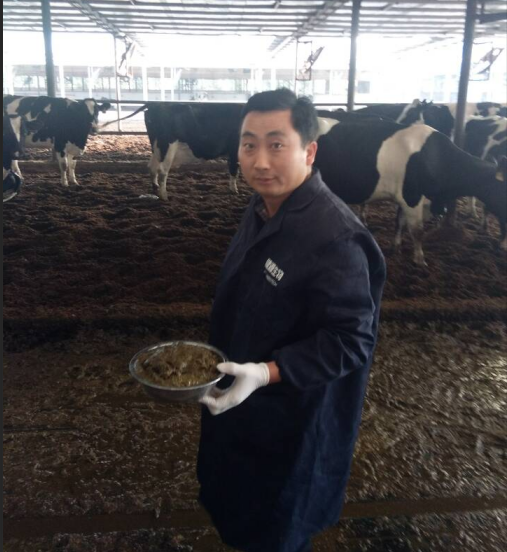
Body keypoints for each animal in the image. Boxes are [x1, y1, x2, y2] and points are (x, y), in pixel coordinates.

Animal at [314, 119, 507, 265]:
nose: (503, 247)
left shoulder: (404, 198)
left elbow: (399, 223)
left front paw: (396, 247)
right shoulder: (412, 197)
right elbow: (417, 230)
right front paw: (420, 259)